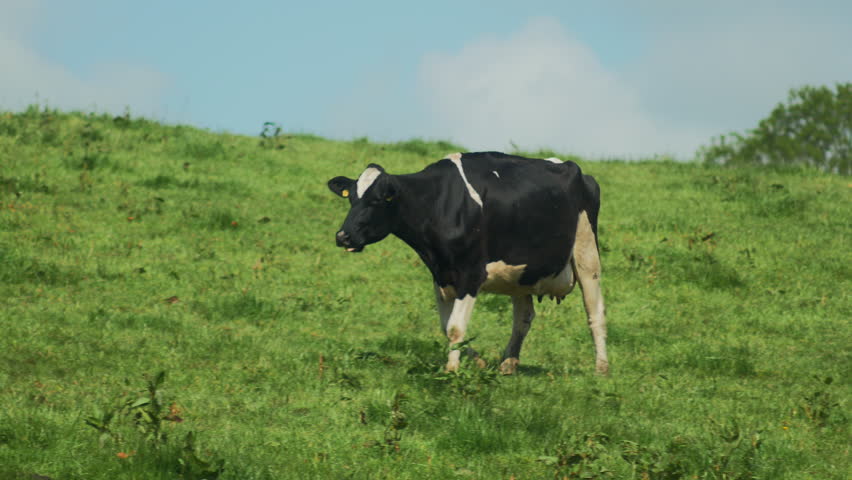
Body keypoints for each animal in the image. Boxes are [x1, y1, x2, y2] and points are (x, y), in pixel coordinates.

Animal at [327, 152, 608, 375]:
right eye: (351, 198)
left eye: (376, 200)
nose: (343, 236)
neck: (439, 203)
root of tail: (571, 166)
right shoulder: (441, 275)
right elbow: (445, 326)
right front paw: (478, 362)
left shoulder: (470, 274)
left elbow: (454, 327)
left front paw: (452, 369)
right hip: (521, 273)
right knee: (523, 318)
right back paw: (508, 363)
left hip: (586, 253)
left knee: (594, 311)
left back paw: (601, 368)